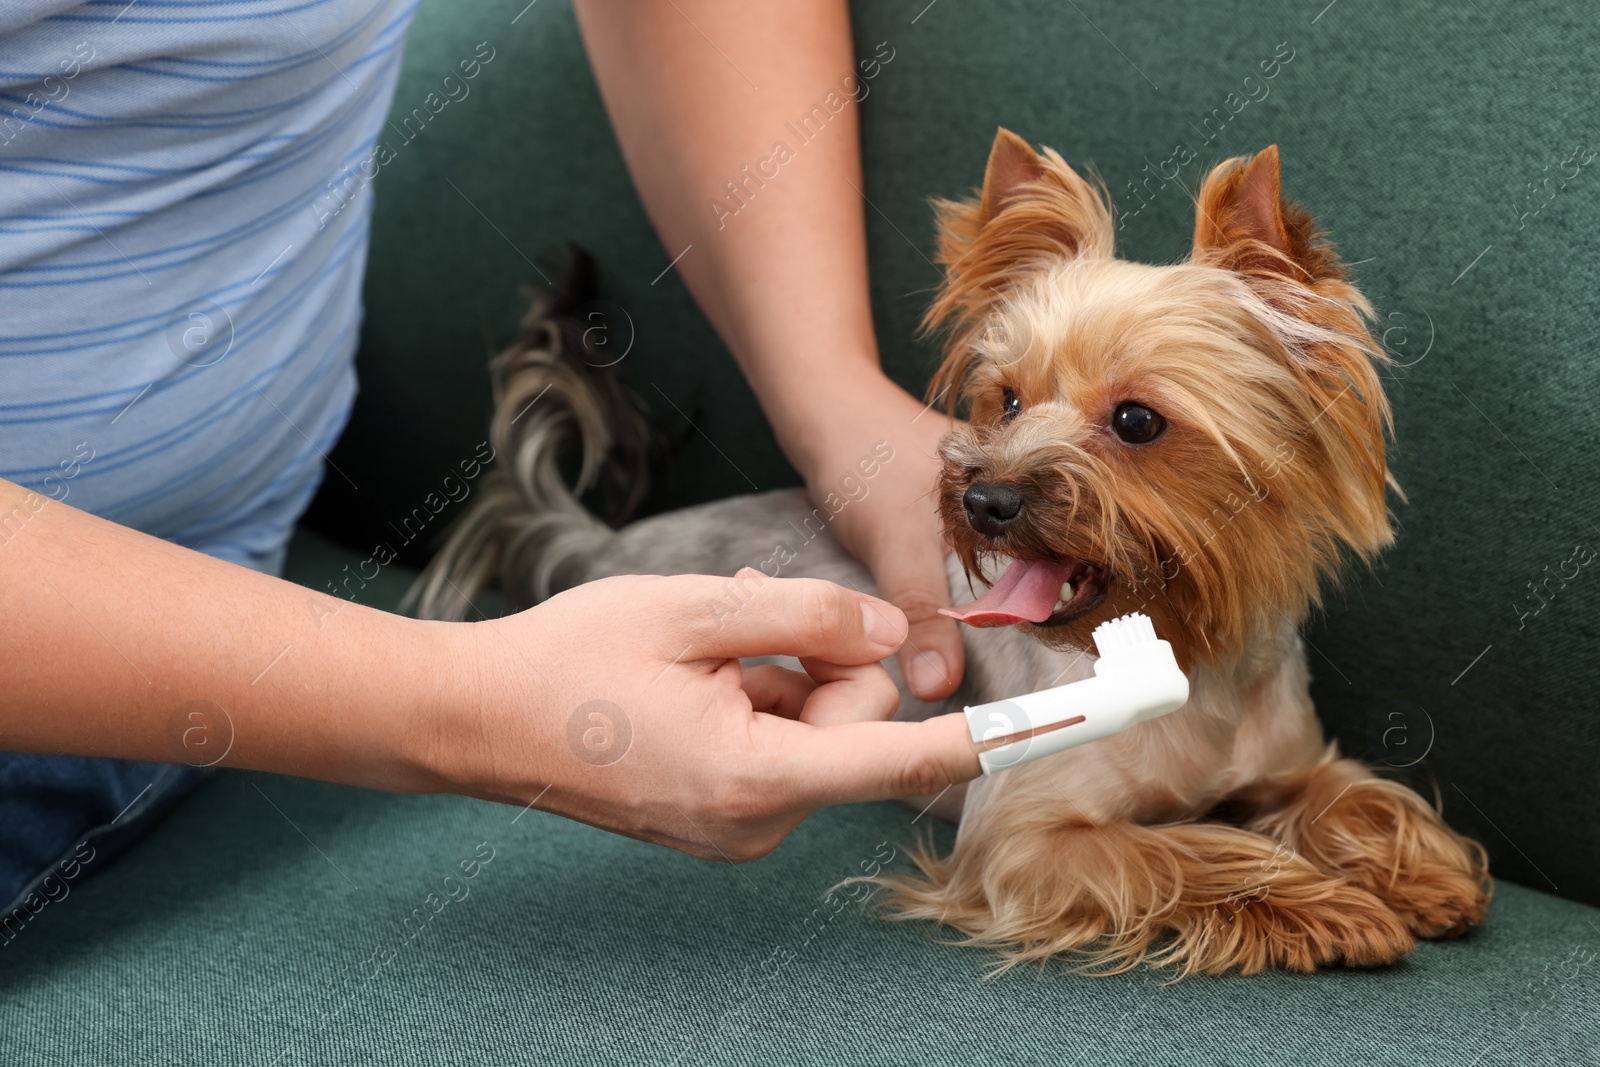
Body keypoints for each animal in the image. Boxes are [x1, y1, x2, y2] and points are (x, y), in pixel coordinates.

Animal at [419, 131, 1491, 979]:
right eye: (1005, 400)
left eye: (1138, 421)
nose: (985, 497)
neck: (1179, 643)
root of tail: (609, 540)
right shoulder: (1023, 838)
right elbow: (1183, 853)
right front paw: (1326, 904)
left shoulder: (1288, 757)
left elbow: (1348, 792)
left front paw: (1419, 871)